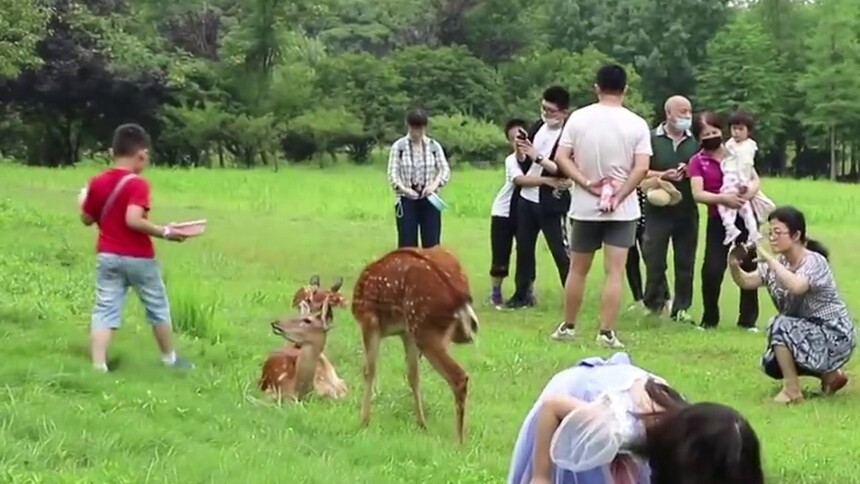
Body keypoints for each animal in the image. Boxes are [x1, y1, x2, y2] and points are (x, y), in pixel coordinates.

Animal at [351, 245, 480, 444]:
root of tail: (459, 295)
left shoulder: (370, 321)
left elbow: (368, 370)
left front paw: (364, 421)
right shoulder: (405, 333)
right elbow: (413, 375)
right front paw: (422, 424)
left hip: (425, 329)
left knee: (458, 376)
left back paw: (459, 439)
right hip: (422, 329)